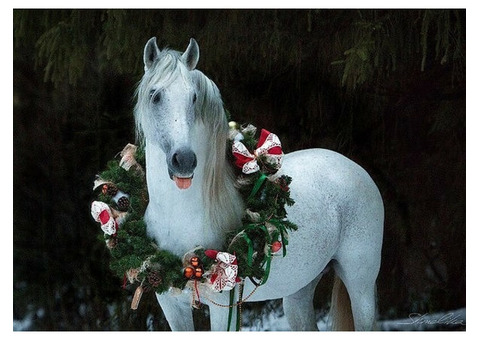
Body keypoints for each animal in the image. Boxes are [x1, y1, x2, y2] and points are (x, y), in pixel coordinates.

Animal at [132, 37, 382, 332]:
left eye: (193, 97)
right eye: (155, 95)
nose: (184, 160)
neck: (180, 217)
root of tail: (355, 169)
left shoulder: (224, 306)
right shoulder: (172, 305)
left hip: (360, 283)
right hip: (299, 290)